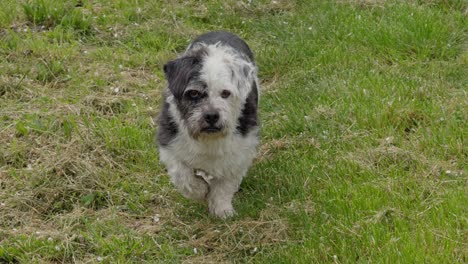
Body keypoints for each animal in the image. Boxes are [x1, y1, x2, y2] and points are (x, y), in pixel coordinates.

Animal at [156, 31, 260, 218]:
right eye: (194, 93)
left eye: (225, 93)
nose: (212, 116)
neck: (208, 140)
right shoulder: (170, 145)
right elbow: (183, 176)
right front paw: (200, 191)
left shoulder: (241, 152)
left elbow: (225, 185)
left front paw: (222, 209)